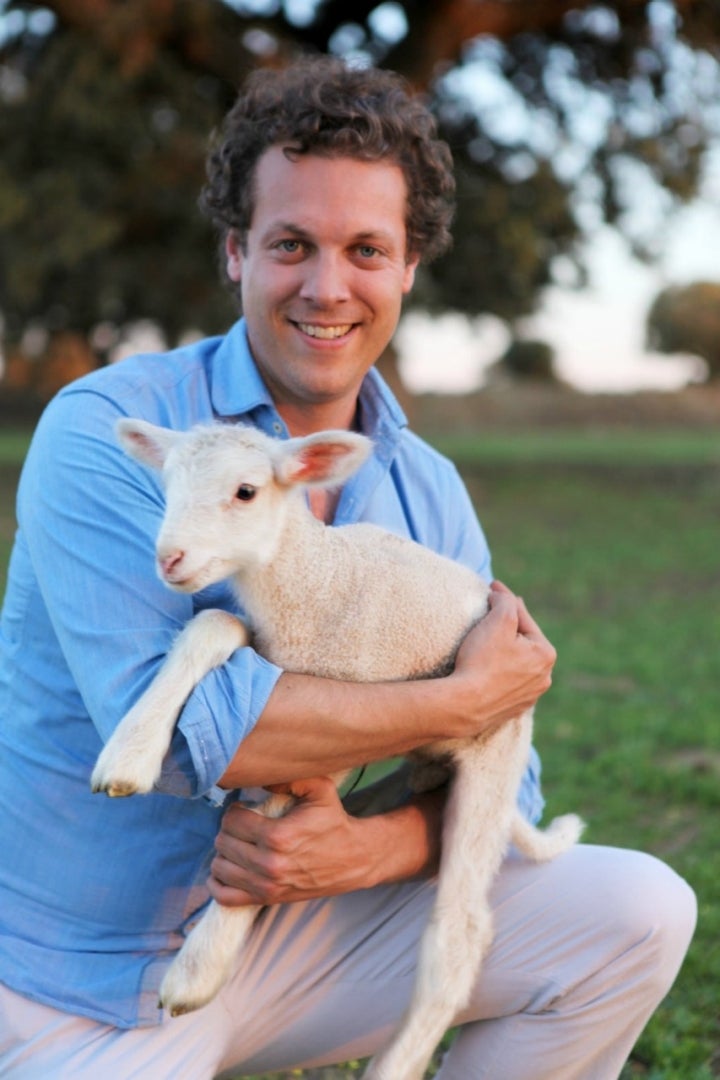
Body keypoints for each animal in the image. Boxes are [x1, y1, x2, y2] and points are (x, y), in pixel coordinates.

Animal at [91, 419, 587, 1080]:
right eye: (166, 484)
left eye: (246, 491)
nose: (169, 559)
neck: (315, 580)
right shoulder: (277, 658)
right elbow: (211, 627)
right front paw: (128, 754)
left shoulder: (344, 698)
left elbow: (274, 812)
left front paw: (197, 971)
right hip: (430, 755)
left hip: (495, 752)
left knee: (458, 939)